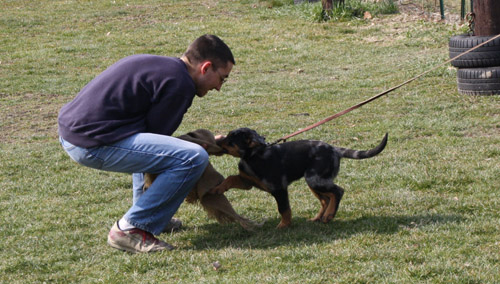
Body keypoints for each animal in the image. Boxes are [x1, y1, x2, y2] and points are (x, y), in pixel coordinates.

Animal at [210, 127, 386, 227]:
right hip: (314, 181)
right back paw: (319, 218)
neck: (254, 156)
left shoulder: (279, 189)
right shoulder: (247, 181)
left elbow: (284, 209)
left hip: (315, 179)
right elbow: (230, 178)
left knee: (338, 192)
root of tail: (335, 150)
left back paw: (329, 216)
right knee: (326, 199)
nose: (216, 141)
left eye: (230, 140)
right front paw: (218, 189)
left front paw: (283, 226)